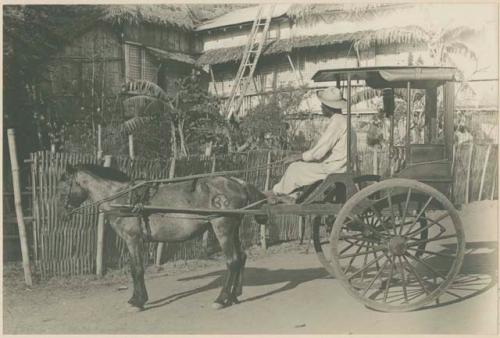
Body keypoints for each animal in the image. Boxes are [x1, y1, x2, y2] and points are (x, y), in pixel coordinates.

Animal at [56, 164, 268, 312]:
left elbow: (136, 269)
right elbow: (136, 269)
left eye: (63, 188)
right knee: (241, 258)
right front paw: (136, 299)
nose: (62, 215)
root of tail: (237, 182)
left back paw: (221, 299)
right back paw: (234, 296)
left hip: (222, 228)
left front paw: (137, 302)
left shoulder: (133, 239)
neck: (122, 198)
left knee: (232, 261)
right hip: (233, 229)